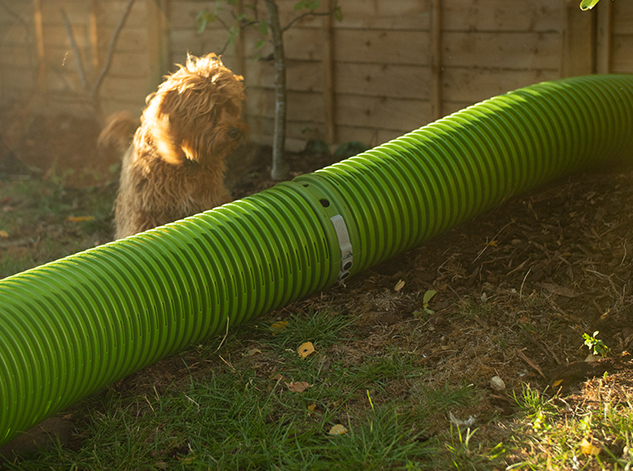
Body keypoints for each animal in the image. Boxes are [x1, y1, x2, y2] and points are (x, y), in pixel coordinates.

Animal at [100, 53, 248, 240]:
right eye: (210, 112)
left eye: (230, 106)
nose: (234, 131)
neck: (185, 163)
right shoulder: (147, 212)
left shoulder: (208, 199)